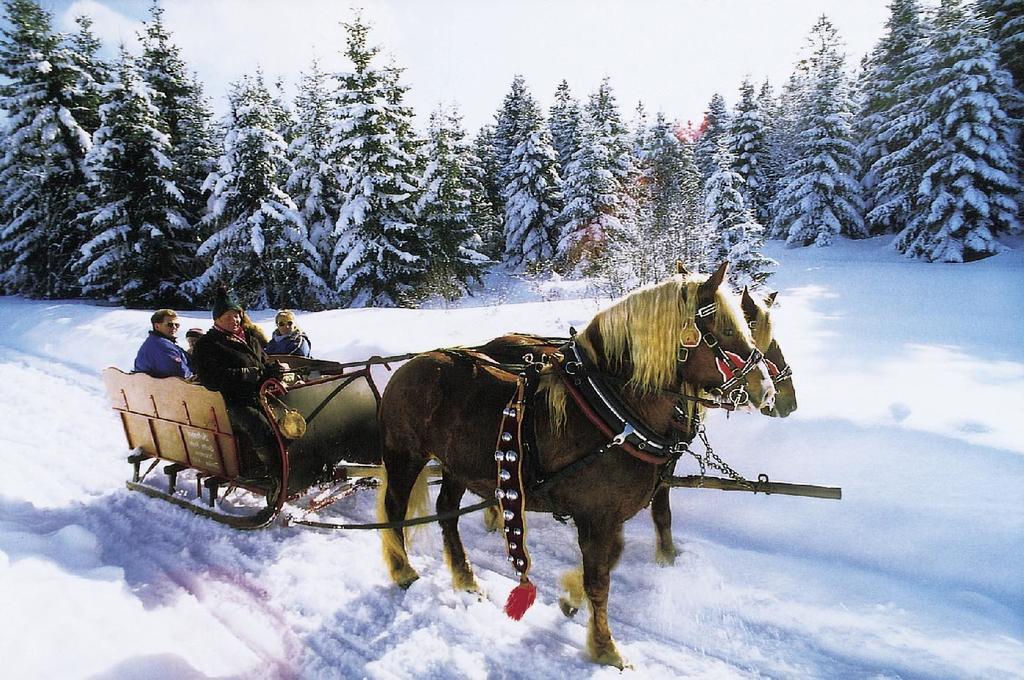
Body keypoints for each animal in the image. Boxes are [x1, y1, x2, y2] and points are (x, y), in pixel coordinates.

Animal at [374, 262, 770, 667]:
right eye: (727, 331)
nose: (766, 390)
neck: (615, 413)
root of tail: (411, 364)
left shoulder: (609, 516)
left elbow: (611, 561)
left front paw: (570, 597)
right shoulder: (595, 517)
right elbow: (600, 582)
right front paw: (606, 648)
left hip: (458, 465)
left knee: (447, 513)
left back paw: (465, 578)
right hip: (405, 455)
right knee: (395, 509)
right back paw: (403, 570)